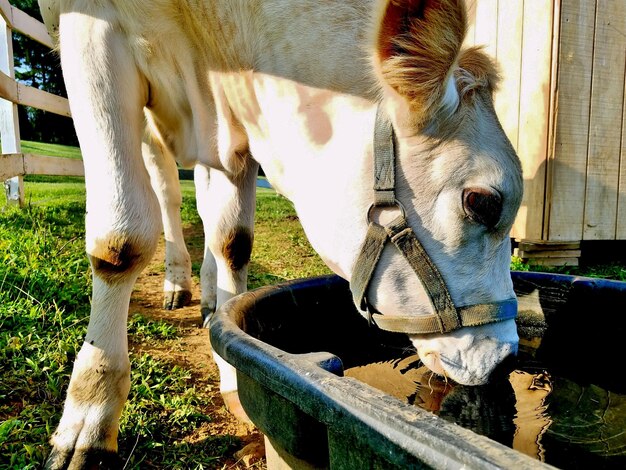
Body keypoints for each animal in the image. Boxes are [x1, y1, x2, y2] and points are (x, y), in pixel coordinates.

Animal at [39, 0, 520, 464]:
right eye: (481, 201)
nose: (506, 358)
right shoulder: (95, 30)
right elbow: (120, 242)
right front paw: (89, 417)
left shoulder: (237, 120)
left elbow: (234, 241)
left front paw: (231, 367)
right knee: (167, 194)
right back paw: (178, 282)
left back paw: (209, 297)